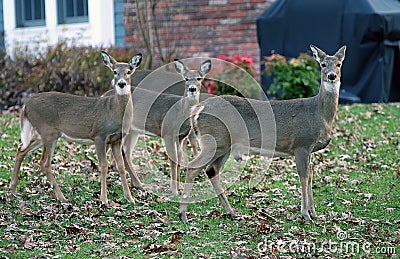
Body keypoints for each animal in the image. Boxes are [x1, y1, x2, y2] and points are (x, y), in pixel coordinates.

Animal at [9, 50, 145, 205]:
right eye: (115, 71)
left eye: (129, 71)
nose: (121, 83)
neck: (115, 112)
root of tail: (26, 105)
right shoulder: (99, 135)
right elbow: (104, 165)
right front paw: (104, 199)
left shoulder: (117, 139)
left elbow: (121, 166)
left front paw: (130, 198)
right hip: (48, 132)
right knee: (45, 163)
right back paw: (61, 196)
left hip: (41, 133)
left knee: (21, 150)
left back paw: (13, 189)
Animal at [103, 60, 212, 196]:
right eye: (186, 78)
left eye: (199, 78)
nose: (192, 88)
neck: (180, 112)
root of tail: (104, 94)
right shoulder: (168, 133)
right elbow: (173, 159)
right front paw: (174, 190)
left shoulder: (180, 136)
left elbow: (179, 158)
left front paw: (179, 186)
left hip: (133, 131)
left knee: (125, 152)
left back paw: (138, 184)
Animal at [178, 44, 346, 223]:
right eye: (323, 64)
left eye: (339, 64)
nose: (331, 76)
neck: (319, 113)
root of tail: (197, 109)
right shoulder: (301, 144)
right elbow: (303, 177)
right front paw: (305, 215)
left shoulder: (309, 149)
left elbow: (310, 176)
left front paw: (314, 214)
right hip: (214, 140)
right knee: (194, 167)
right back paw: (183, 215)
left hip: (224, 145)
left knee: (211, 170)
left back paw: (231, 212)